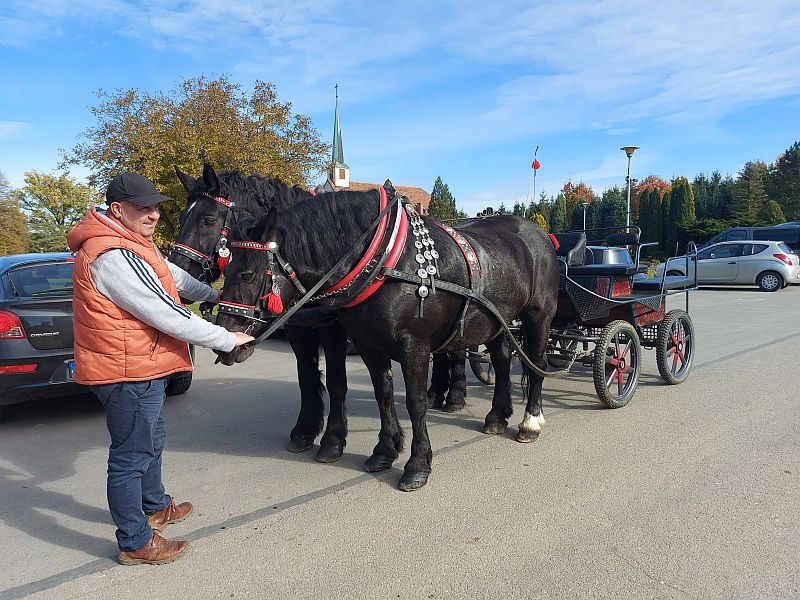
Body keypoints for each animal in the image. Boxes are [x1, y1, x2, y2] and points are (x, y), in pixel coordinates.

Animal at [216, 190, 560, 490]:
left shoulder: (414, 346)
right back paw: (497, 416)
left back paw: (530, 422)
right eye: (226, 267)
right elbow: (383, 395)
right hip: (495, 322)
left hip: (538, 316)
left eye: (247, 274)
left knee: (537, 364)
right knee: (502, 361)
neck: (384, 260)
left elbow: (415, 402)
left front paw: (417, 465)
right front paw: (384, 450)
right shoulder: (368, 344)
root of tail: (540, 234)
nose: (229, 340)